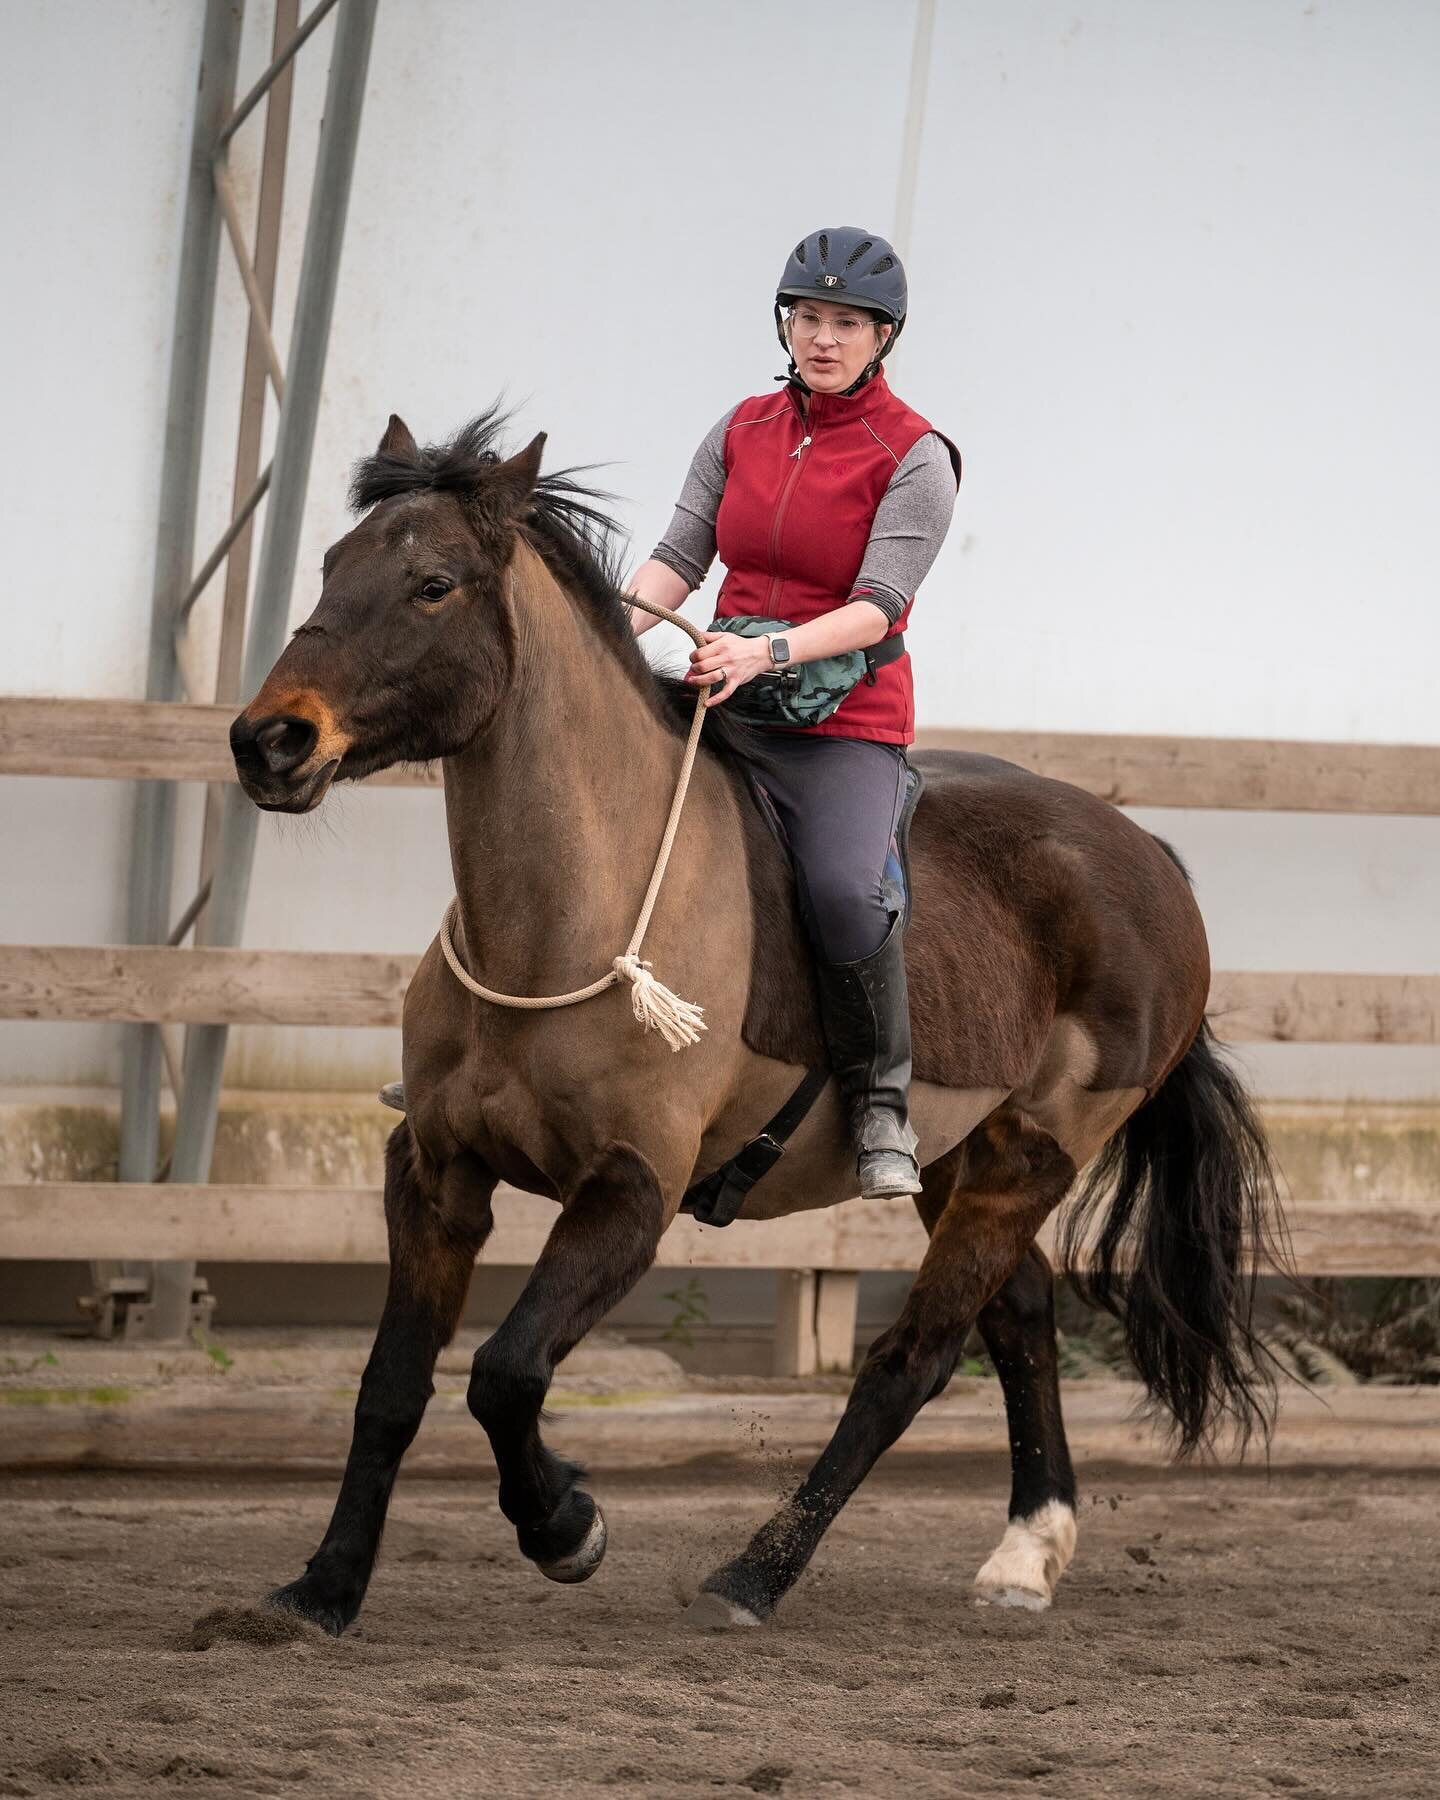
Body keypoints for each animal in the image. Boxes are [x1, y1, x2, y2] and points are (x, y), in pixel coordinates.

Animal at [227, 405, 1281, 1634]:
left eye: (433, 584)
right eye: (332, 566)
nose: (270, 742)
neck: (573, 910)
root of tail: (1146, 856)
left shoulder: (633, 1187)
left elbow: (506, 1374)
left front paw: (568, 1525)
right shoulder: (434, 1171)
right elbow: (392, 1386)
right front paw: (322, 1589)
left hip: (1034, 1153)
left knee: (913, 1360)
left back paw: (756, 1573)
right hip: (956, 1158)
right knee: (1019, 1318)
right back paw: (1026, 1554)